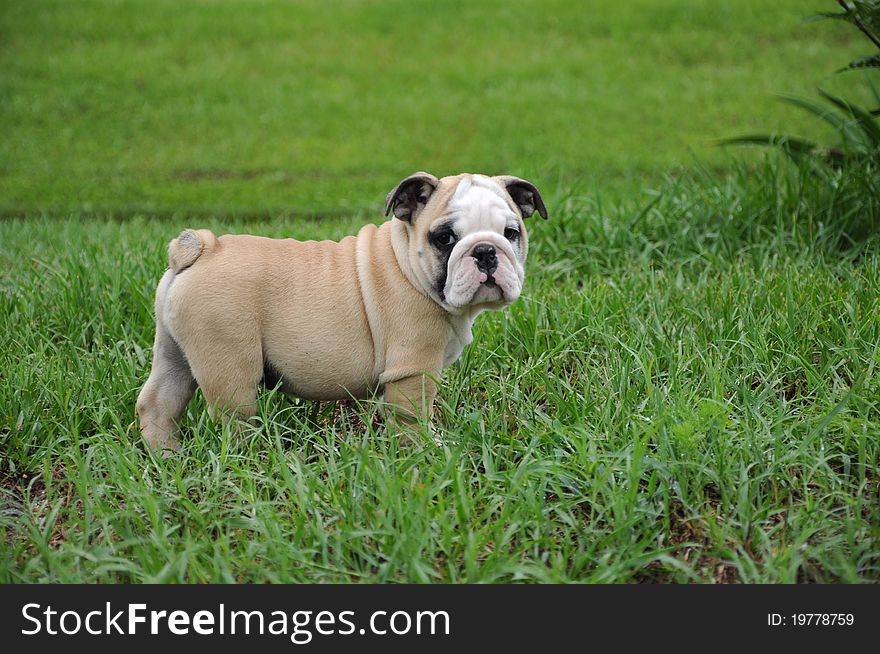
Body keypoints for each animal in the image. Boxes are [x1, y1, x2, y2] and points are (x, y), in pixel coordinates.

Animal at [136, 172, 544, 454]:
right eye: (444, 238)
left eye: (511, 233)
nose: (486, 251)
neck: (407, 262)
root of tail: (201, 249)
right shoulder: (413, 369)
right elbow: (414, 419)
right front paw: (428, 453)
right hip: (229, 364)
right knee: (233, 420)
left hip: (173, 351)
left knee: (158, 402)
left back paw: (166, 458)